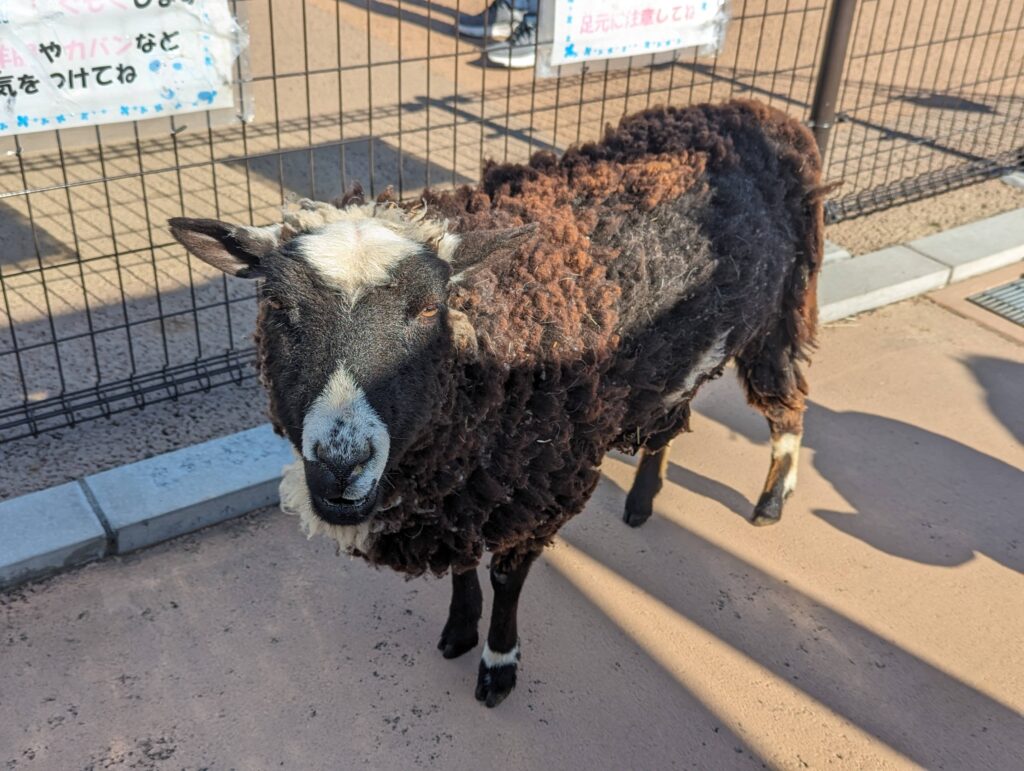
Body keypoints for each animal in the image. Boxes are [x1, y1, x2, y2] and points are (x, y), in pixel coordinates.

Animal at [167, 99, 823, 708]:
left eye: (429, 309)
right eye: (278, 306)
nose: (340, 463)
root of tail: (756, 109)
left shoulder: (538, 482)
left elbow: (507, 578)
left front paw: (498, 663)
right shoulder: (461, 485)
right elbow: (462, 564)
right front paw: (459, 630)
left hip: (786, 305)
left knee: (788, 407)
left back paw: (771, 502)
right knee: (668, 422)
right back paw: (642, 501)